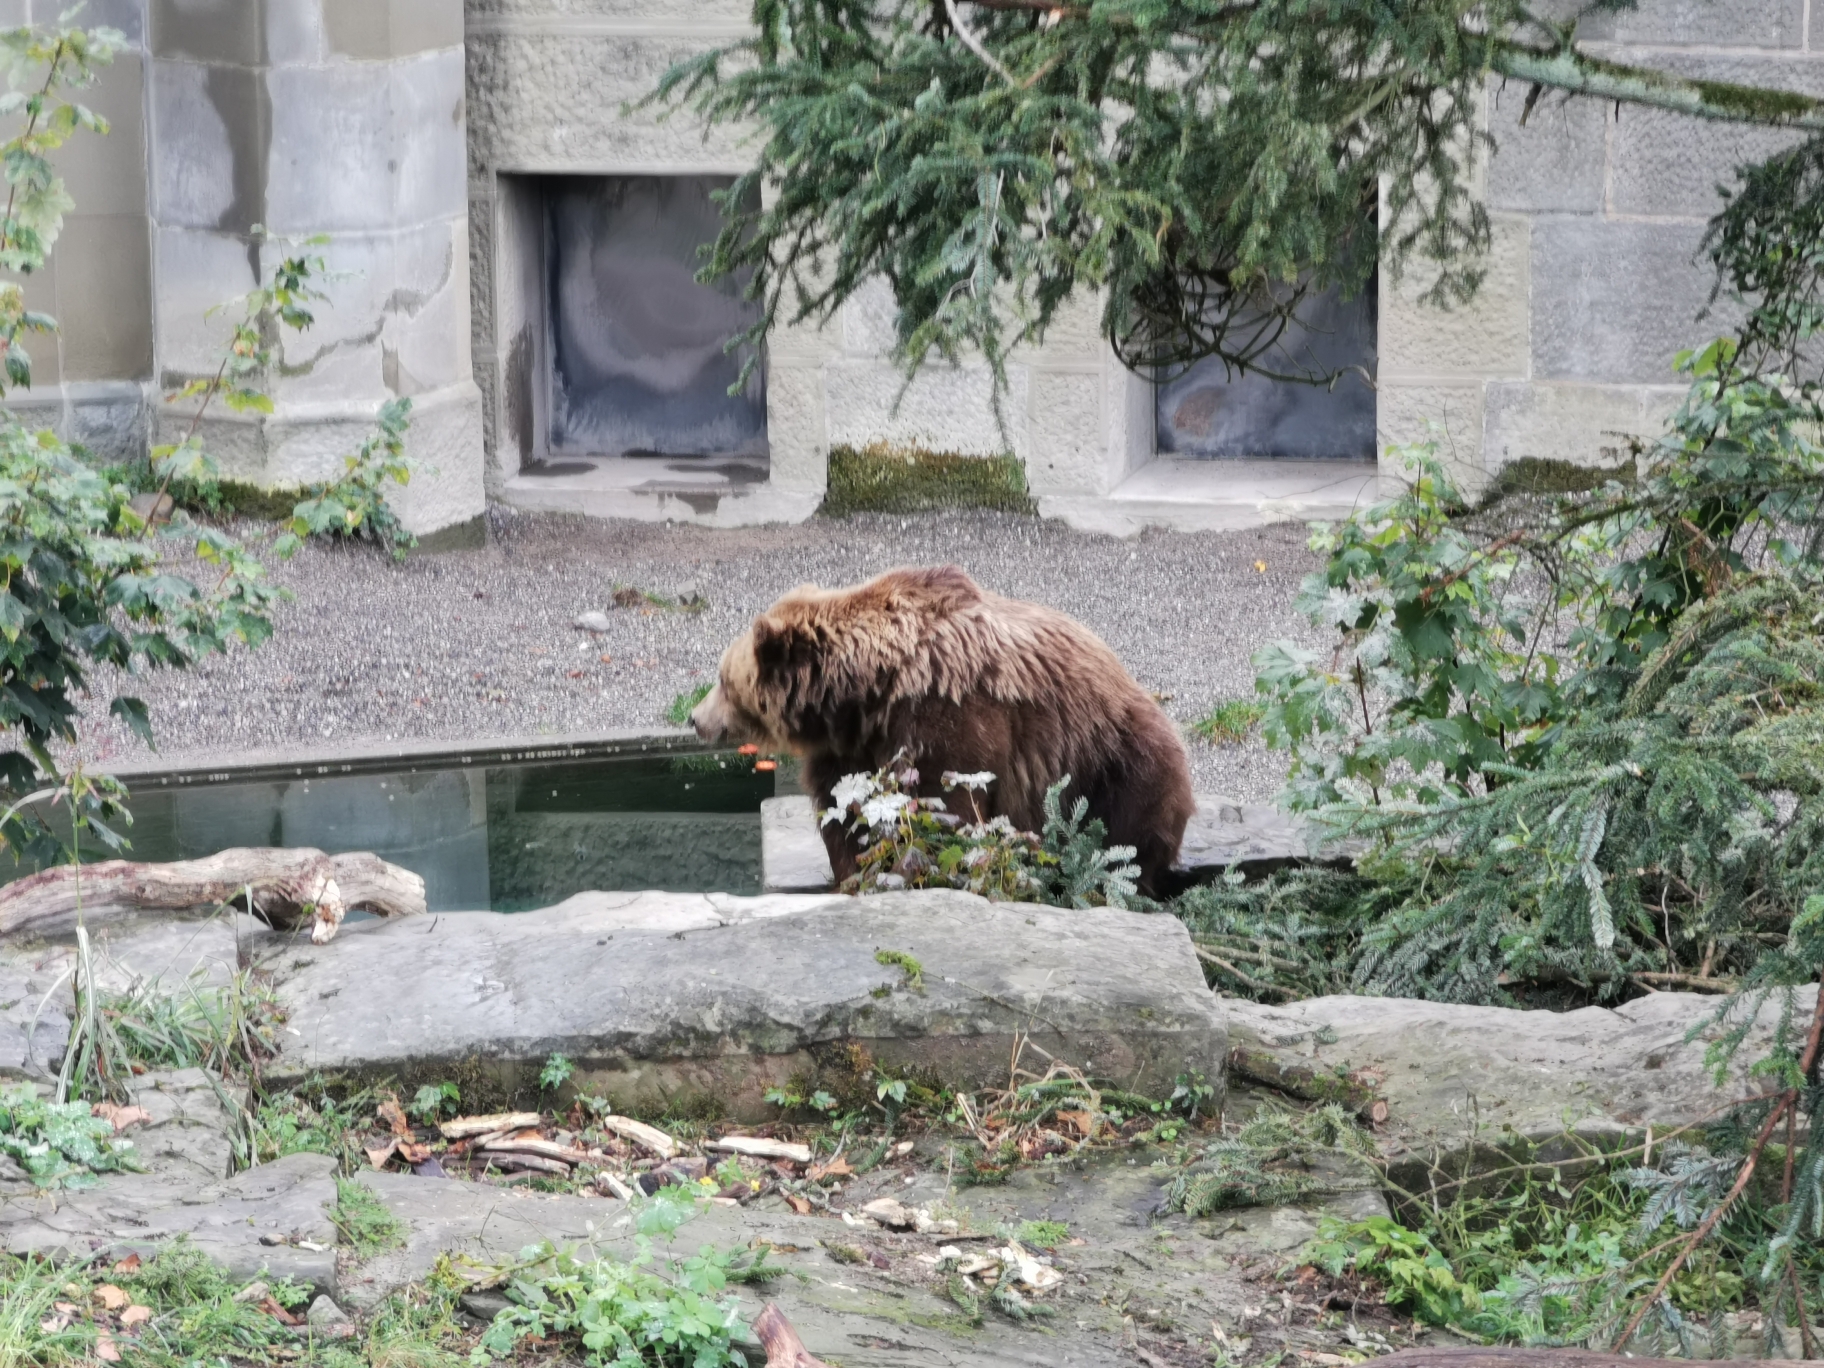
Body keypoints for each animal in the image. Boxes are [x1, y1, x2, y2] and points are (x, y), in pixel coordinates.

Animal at [685, 561, 1196, 893]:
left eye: (722, 681)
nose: (694, 718)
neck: (868, 693)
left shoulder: (949, 716)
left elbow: (949, 804)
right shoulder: (851, 747)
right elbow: (845, 813)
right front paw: (856, 875)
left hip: (1111, 753)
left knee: (1129, 830)